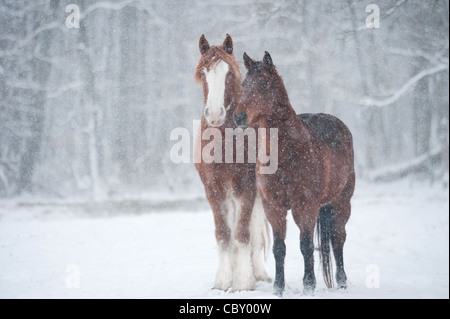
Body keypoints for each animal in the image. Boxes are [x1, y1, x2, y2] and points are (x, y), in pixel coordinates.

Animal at [194, 35, 270, 292]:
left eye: (228, 73)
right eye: (204, 73)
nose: (215, 114)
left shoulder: (246, 188)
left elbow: (243, 235)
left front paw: (243, 282)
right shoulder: (213, 190)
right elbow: (223, 234)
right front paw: (223, 281)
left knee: (254, 232)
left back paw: (259, 274)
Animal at [236, 50, 356, 298]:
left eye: (264, 84)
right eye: (243, 85)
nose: (239, 117)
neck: (286, 154)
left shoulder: (306, 206)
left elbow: (306, 245)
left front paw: (308, 286)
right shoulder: (274, 207)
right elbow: (279, 248)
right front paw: (278, 288)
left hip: (342, 201)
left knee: (338, 239)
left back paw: (342, 282)